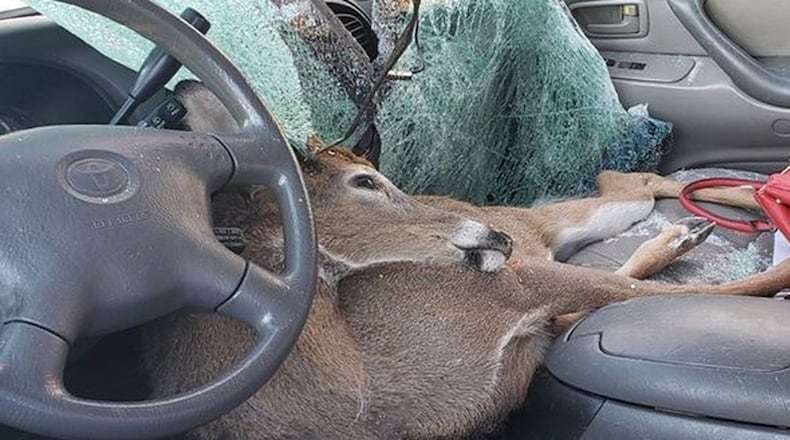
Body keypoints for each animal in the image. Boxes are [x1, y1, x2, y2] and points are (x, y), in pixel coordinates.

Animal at [134, 82, 788, 440]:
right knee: (622, 201)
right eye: (365, 182)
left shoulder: (506, 290)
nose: (493, 237)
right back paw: (688, 231)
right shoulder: (512, 300)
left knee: (633, 179)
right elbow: (646, 296)